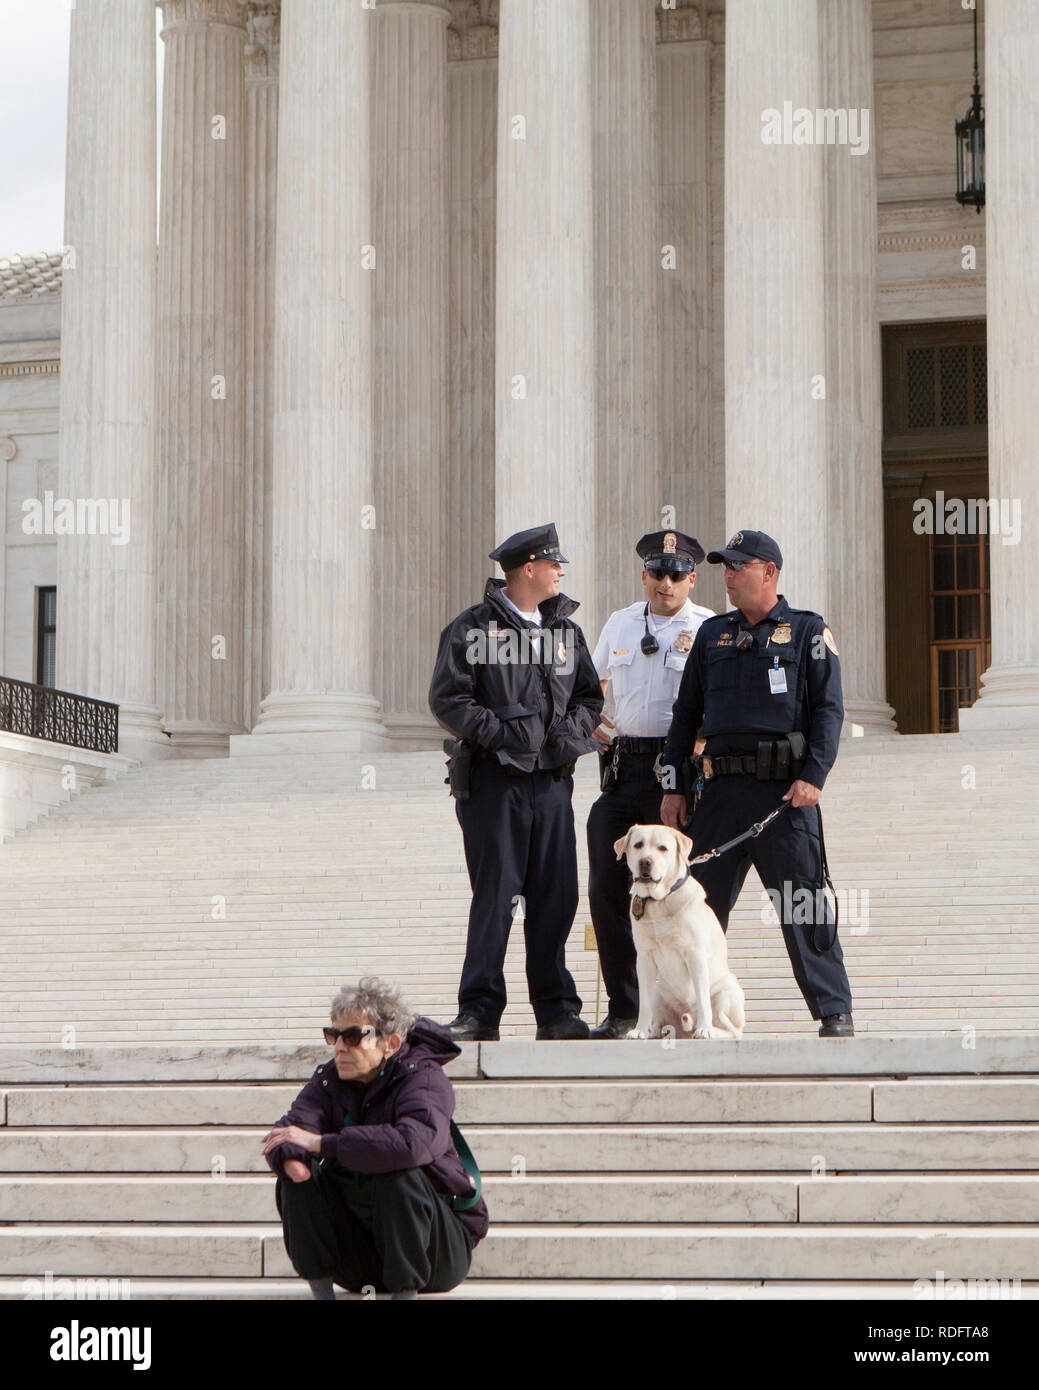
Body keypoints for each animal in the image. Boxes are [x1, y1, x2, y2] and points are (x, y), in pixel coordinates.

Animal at [614, 822, 745, 1045]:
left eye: (663, 848)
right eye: (638, 844)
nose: (645, 861)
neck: (659, 901)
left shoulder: (695, 954)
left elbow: (702, 998)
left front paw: (704, 1029)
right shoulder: (644, 958)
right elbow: (643, 1003)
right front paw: (639, 1030)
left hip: (727, 991)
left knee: (731, 1029)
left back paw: (708, 1030)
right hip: (659, 993)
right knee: (660, 1020)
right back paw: (654, 1030)